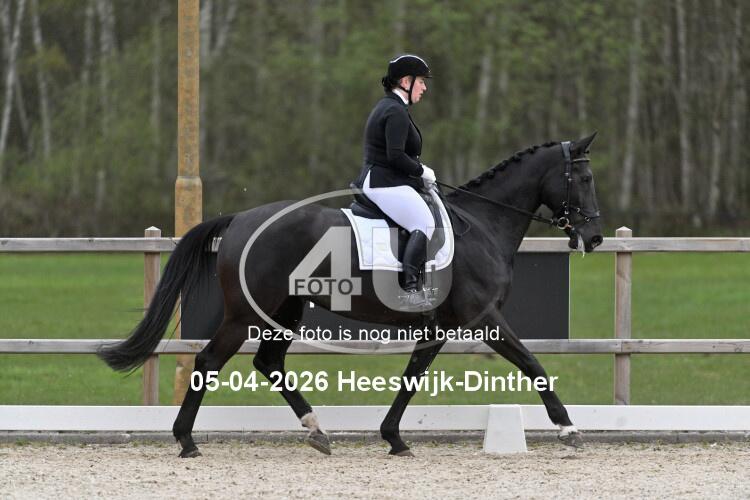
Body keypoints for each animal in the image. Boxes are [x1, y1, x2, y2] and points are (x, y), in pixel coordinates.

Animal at [98, 133, 603, 458]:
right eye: (583, 179)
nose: (595, 237)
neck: (483, 225)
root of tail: (241, 218)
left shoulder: (439, 327)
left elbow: (412, 377)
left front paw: (394, 438)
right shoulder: (485, 318)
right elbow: (533, 364)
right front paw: (568, 428)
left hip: (285, 311)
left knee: (268, 362)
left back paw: (317, 430)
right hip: (245, 314)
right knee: (208, 362)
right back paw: (186, 441)